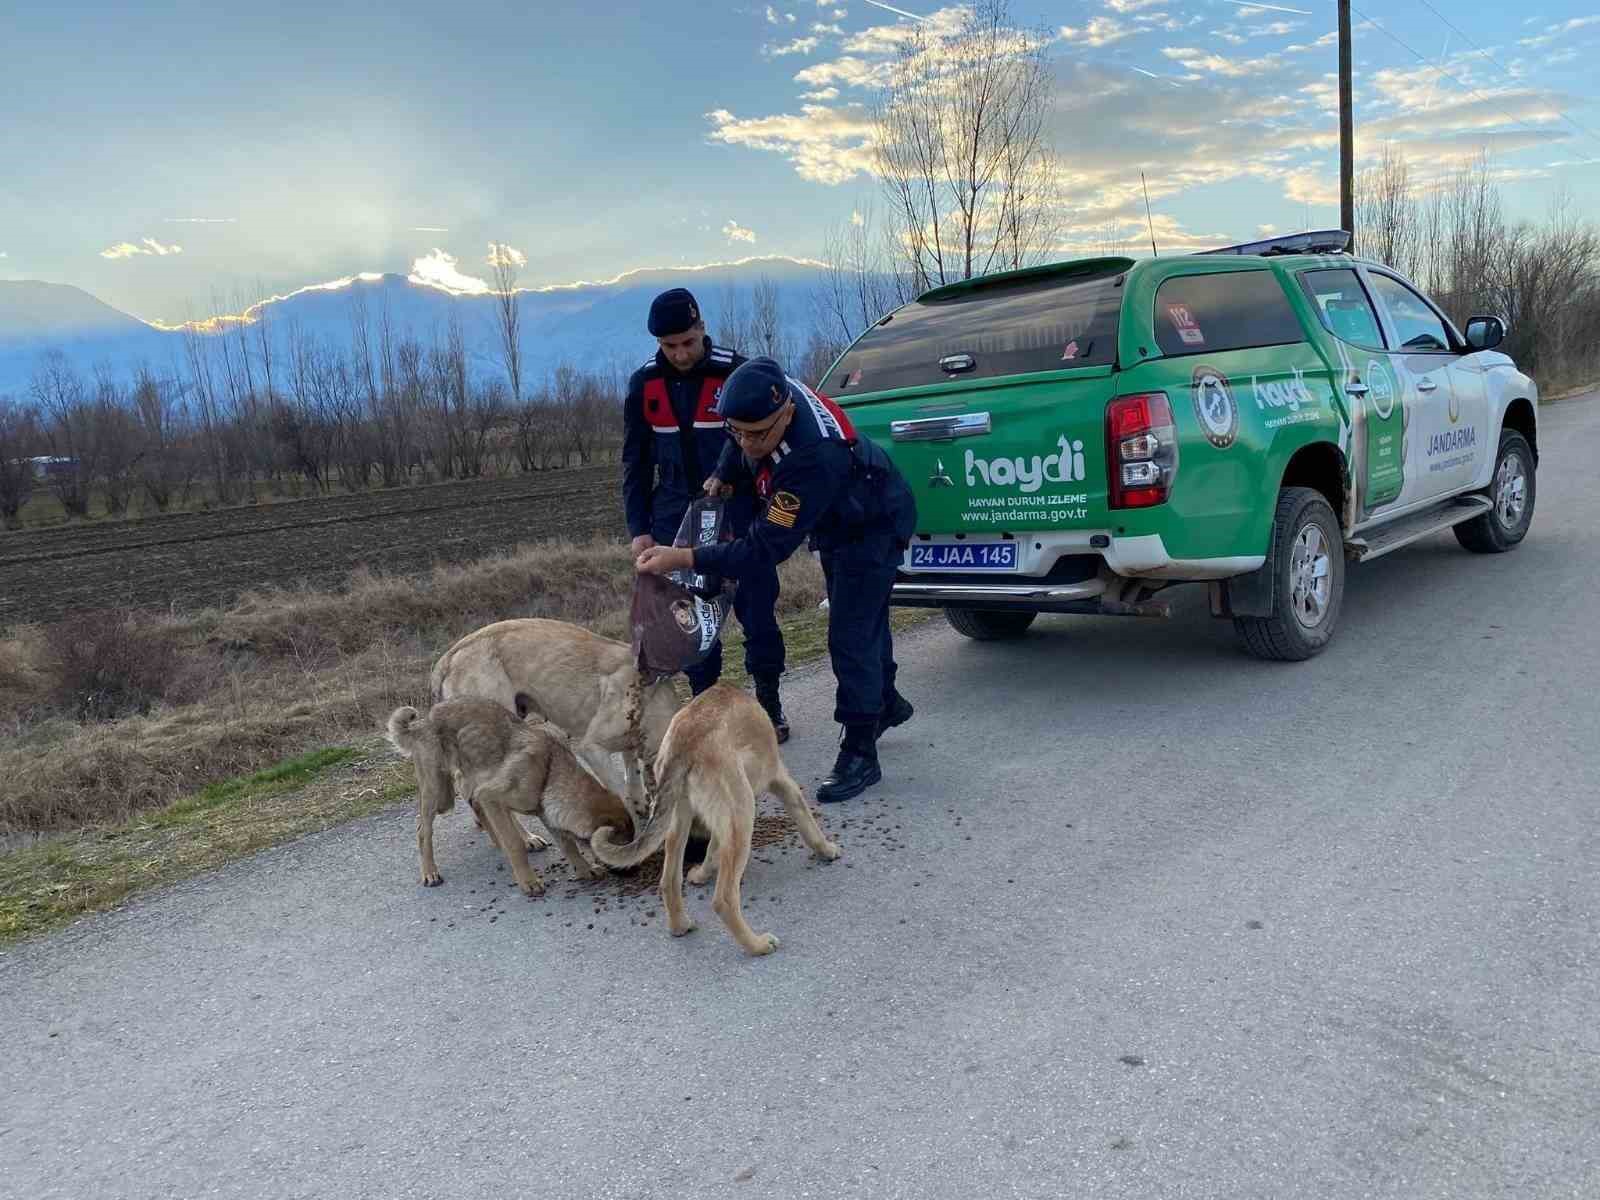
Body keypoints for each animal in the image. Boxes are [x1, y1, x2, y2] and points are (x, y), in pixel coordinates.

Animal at [387, 694, 636, 896]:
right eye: (615, 852)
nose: (634, 872)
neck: (549, 769)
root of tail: (423, 722)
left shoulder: (543, 811)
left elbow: (568, 845)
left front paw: (584, 869)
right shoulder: (491, 797)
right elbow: (515, 844)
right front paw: (528, 881)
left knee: (479, 809)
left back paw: (517, 840)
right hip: (438, 794)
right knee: (423, 830)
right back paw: (430, 871)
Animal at [435, 614, 684, 825]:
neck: (651, 697)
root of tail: (448, 657)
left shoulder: (631, 744)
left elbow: (632, 772)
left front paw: (640, 801)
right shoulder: (591, 749)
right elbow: (621, 792)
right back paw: (527, 838)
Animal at [588, 684, 838, 960]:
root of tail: (684, 741)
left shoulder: (720, 821)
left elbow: (711, 849)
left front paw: (702, 873)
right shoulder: (781, 781)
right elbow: (808, 824)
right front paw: (827, 850)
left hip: (679, 819)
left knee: (669, 881)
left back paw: (679, 925)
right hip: (742, 813)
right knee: (724, 900)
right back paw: (758, 945)